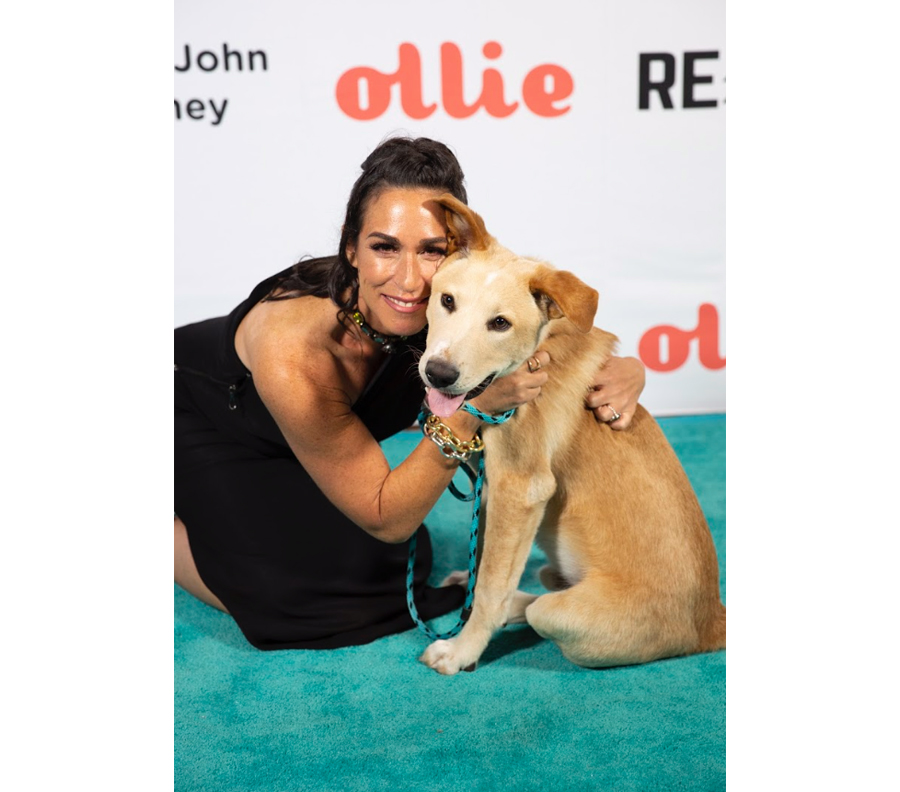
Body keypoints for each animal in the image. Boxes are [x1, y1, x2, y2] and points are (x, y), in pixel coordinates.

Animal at [416, 196, 724, 676]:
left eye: (500, 323)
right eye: (447, 300)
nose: (438, 374)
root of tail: (713, 622)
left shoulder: (521, 486)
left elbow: (491, 586)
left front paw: (463, 648)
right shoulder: (493, 485)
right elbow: (485, 557)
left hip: (561, 613)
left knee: (533, 607)